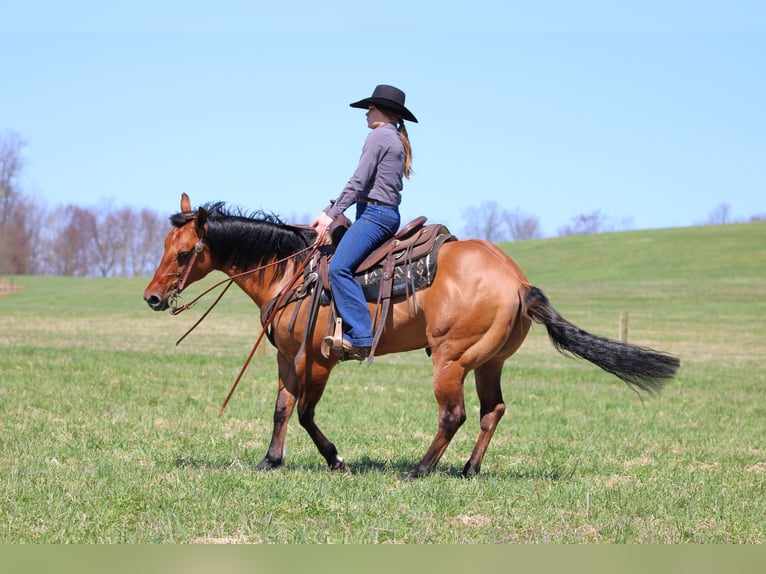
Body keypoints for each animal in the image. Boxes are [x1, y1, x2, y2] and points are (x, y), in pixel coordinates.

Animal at [143, 193, 680, 479]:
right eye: (166, 245)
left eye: (185, 252)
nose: (151, 298)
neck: (293, 273)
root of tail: (518, 281)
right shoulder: (287, 357)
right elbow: (281, 407)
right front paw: (270, 461)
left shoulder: (318, 359)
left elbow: (305, 412)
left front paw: (336, 459)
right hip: (488, 362)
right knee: (492, 411)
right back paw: (468, 470)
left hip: (450, 360)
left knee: (453, 414)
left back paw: (420, 470)